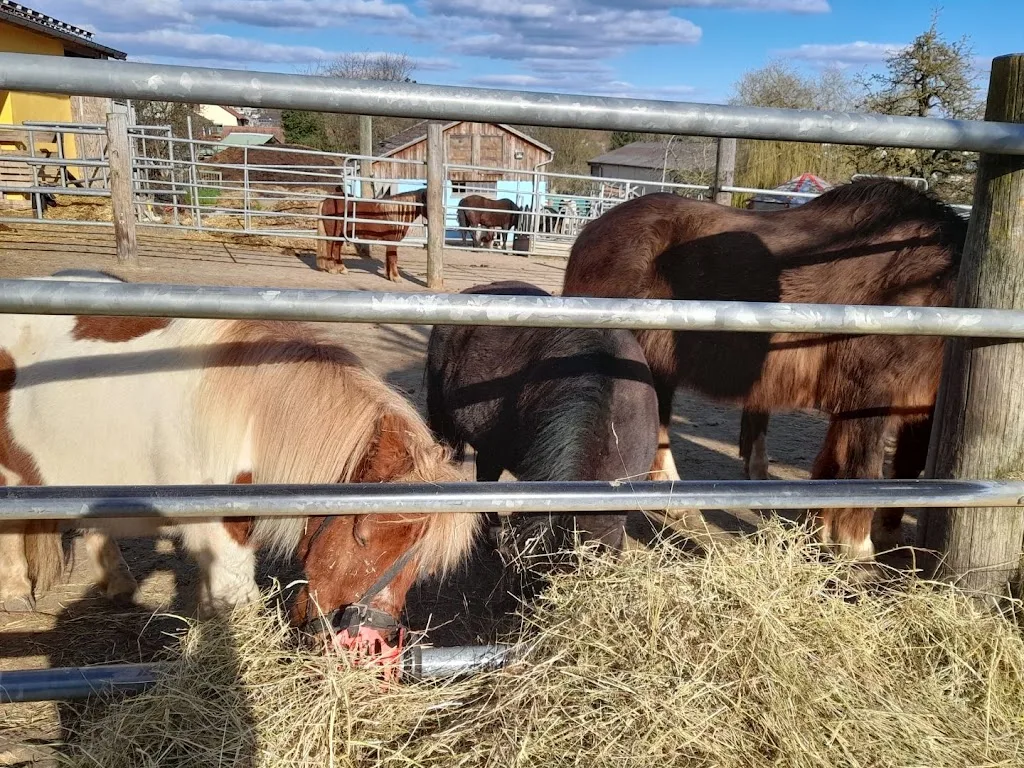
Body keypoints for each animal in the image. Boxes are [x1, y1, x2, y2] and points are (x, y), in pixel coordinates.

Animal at [0, 271, 481, 655]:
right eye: (362, 535)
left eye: (420, 561)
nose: (366, 644)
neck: (248, 417)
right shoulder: (218, 531)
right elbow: (238, 599)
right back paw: (16, 593)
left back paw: (118, 585)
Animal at [561, 179, 965, 562]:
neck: (926, 285)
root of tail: (591, 231)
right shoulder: (872, 395)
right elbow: (864, 468)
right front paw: (856, 547)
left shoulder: (863, 401)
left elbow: (835, 463)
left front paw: (820, 531)